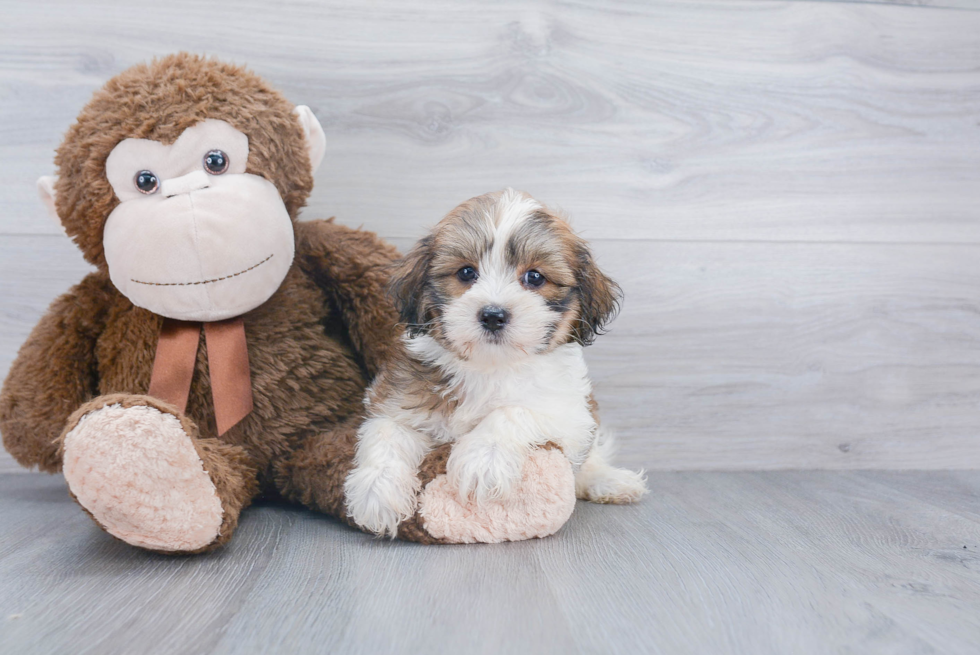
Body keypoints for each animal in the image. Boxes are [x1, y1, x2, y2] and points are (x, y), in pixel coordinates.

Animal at [340, 190, 648, 540]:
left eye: (534, 277)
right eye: (466, 273)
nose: (493, 315)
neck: (489, 366)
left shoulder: (570, 413)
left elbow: (514, 411)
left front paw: (483, 458)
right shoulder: (397, 399)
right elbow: (386, 432)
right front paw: (376, 491)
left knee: (588, 461)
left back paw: (608, 481)